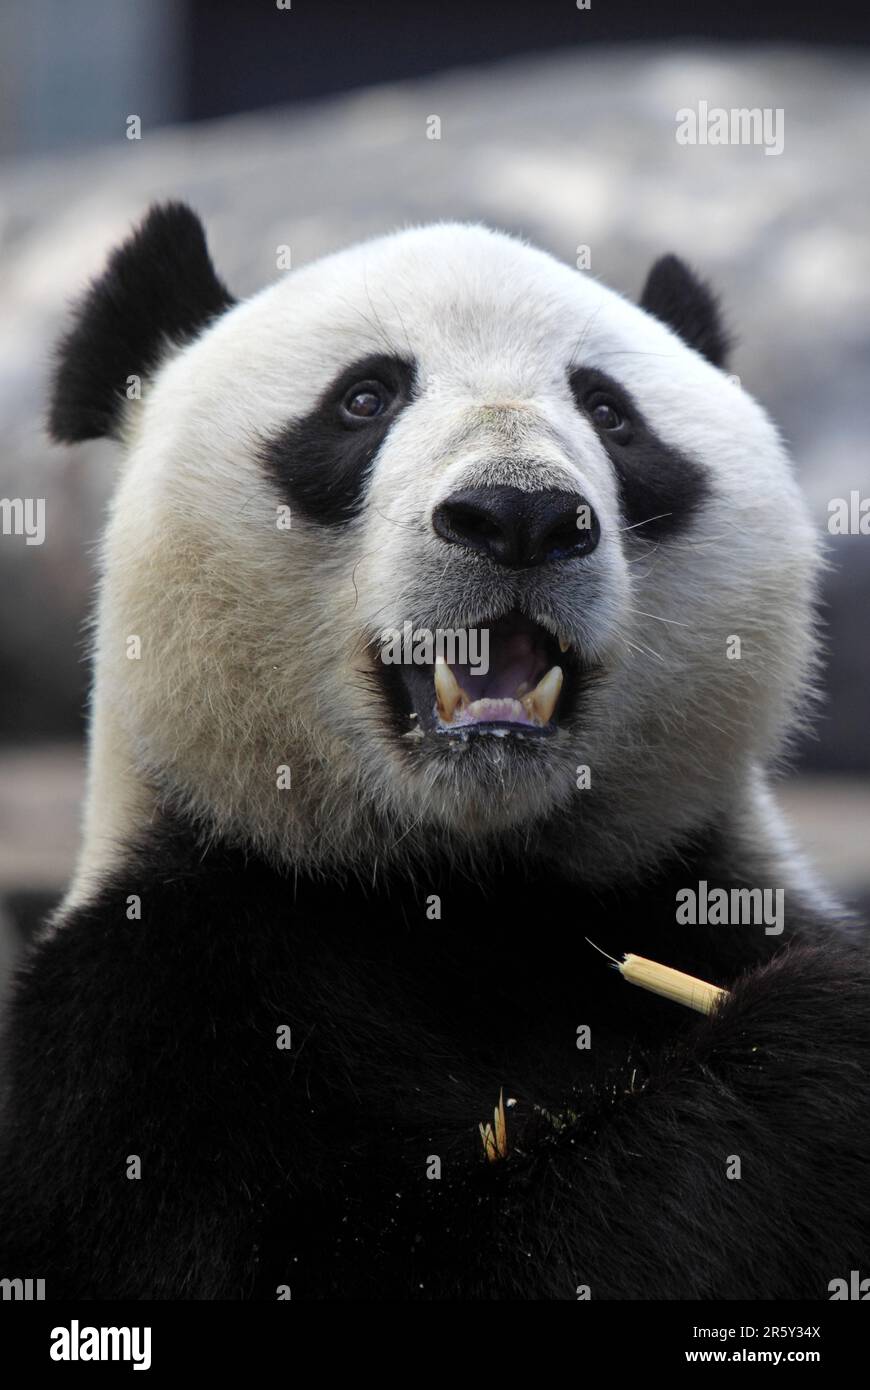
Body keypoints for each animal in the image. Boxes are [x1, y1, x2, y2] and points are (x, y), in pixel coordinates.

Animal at [0, 202, 868, 1300]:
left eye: (610, 411)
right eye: (364, 398)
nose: (519, 514)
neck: (469, 881)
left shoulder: (699, 891)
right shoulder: (152, 1022)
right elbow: (384, 1261)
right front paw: (820, 1048)